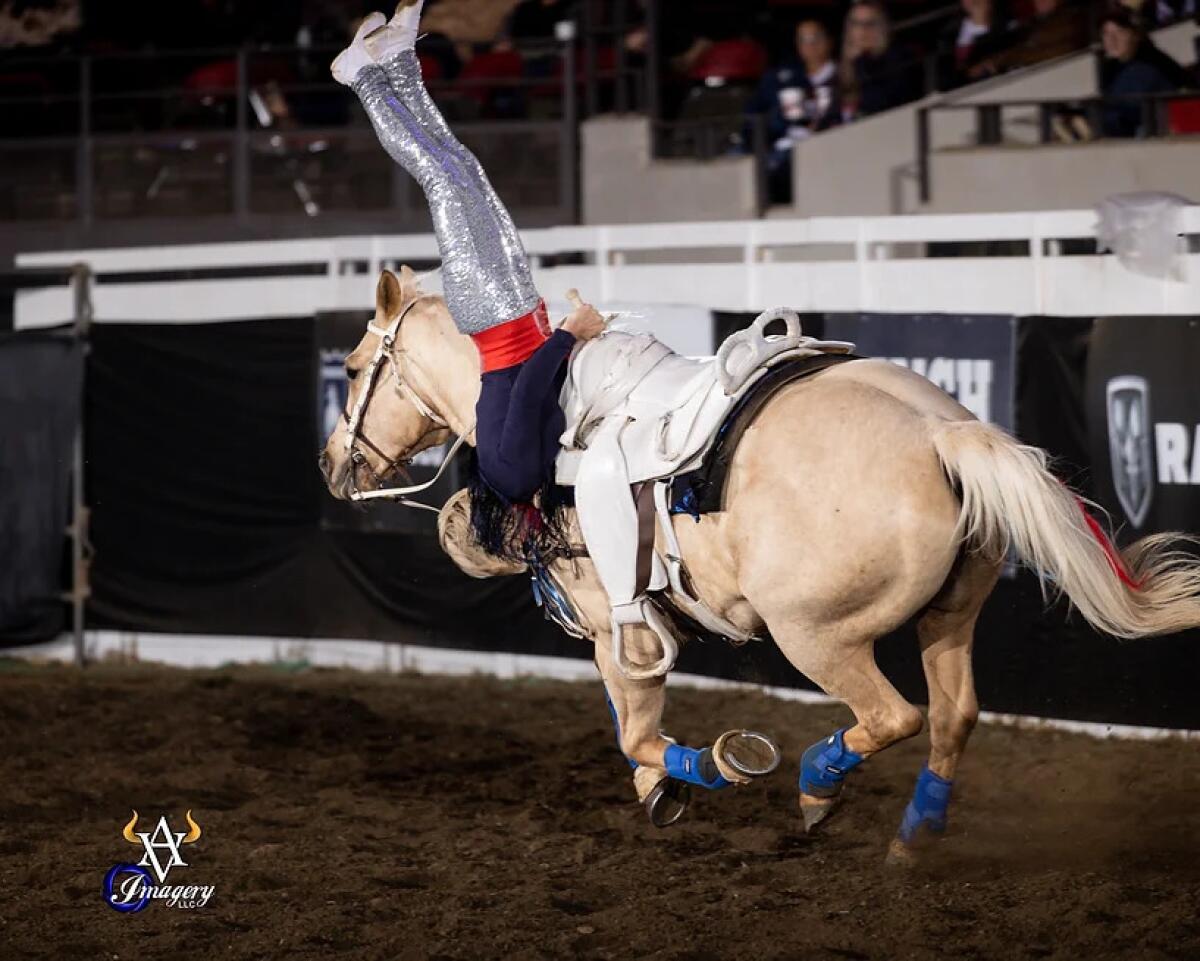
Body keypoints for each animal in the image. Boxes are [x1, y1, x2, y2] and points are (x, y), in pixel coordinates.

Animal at [319, 269, 1200, 863]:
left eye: (356, 368)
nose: (332, 463)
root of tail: (940, 433)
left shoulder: (615, 626)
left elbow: (636, 731)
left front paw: (703, 769)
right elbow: (628, 728)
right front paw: (665, 785)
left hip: (817, 634)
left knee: (895, 716)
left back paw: (816, 783)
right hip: (948, 617)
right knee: (953, 716)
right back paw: (916, 833)